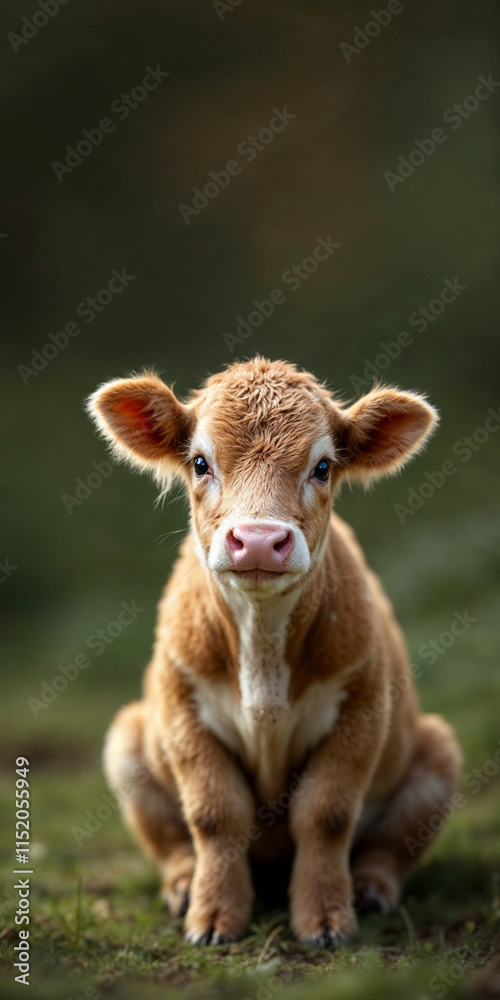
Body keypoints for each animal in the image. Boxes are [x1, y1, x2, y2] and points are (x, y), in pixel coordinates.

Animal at [87, 357, 461, 947]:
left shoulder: (362, 705)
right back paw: (184, 885)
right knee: (172, 843)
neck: (263, 658)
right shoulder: (180, 705)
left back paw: (370, 888)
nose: (259, 540)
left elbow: (326, 814)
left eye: (323, 467)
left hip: (437, 750)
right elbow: (215, 814)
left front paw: (326, 918)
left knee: (389, 849)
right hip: (128, 739)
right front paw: (214, 916)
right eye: (200, 462)